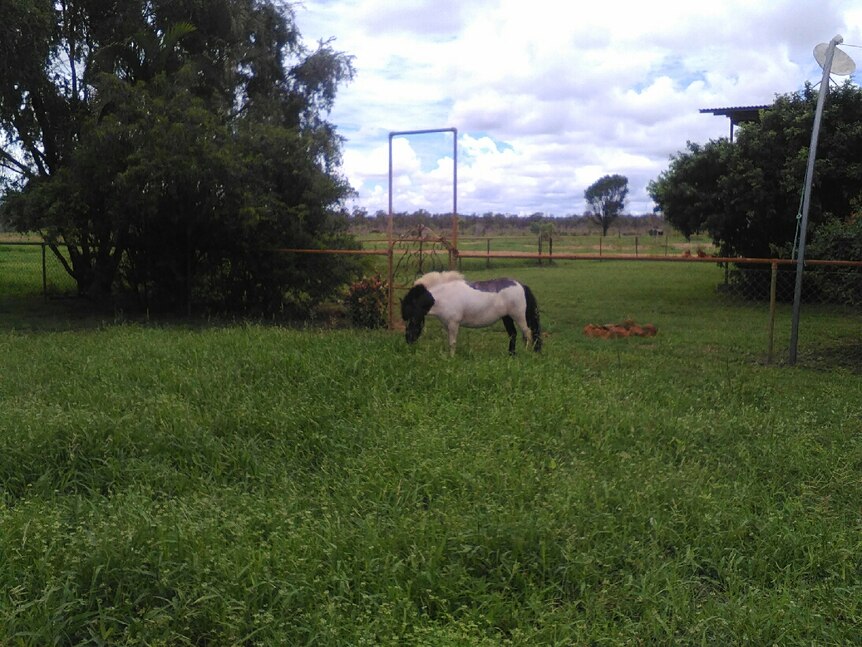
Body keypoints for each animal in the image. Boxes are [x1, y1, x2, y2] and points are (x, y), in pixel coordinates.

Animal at [404, 270, 540, 356]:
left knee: (527, 333)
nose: (408, 340)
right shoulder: (447, 324)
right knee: (513, 334)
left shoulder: (454, 323)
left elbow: (452, 342)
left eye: (413, 319)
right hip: (506, 317)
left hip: (519, 317)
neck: (445, 295)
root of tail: (521, 286)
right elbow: (449, 341)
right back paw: (511, 355)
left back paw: (526, 353)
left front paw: (452, 358)